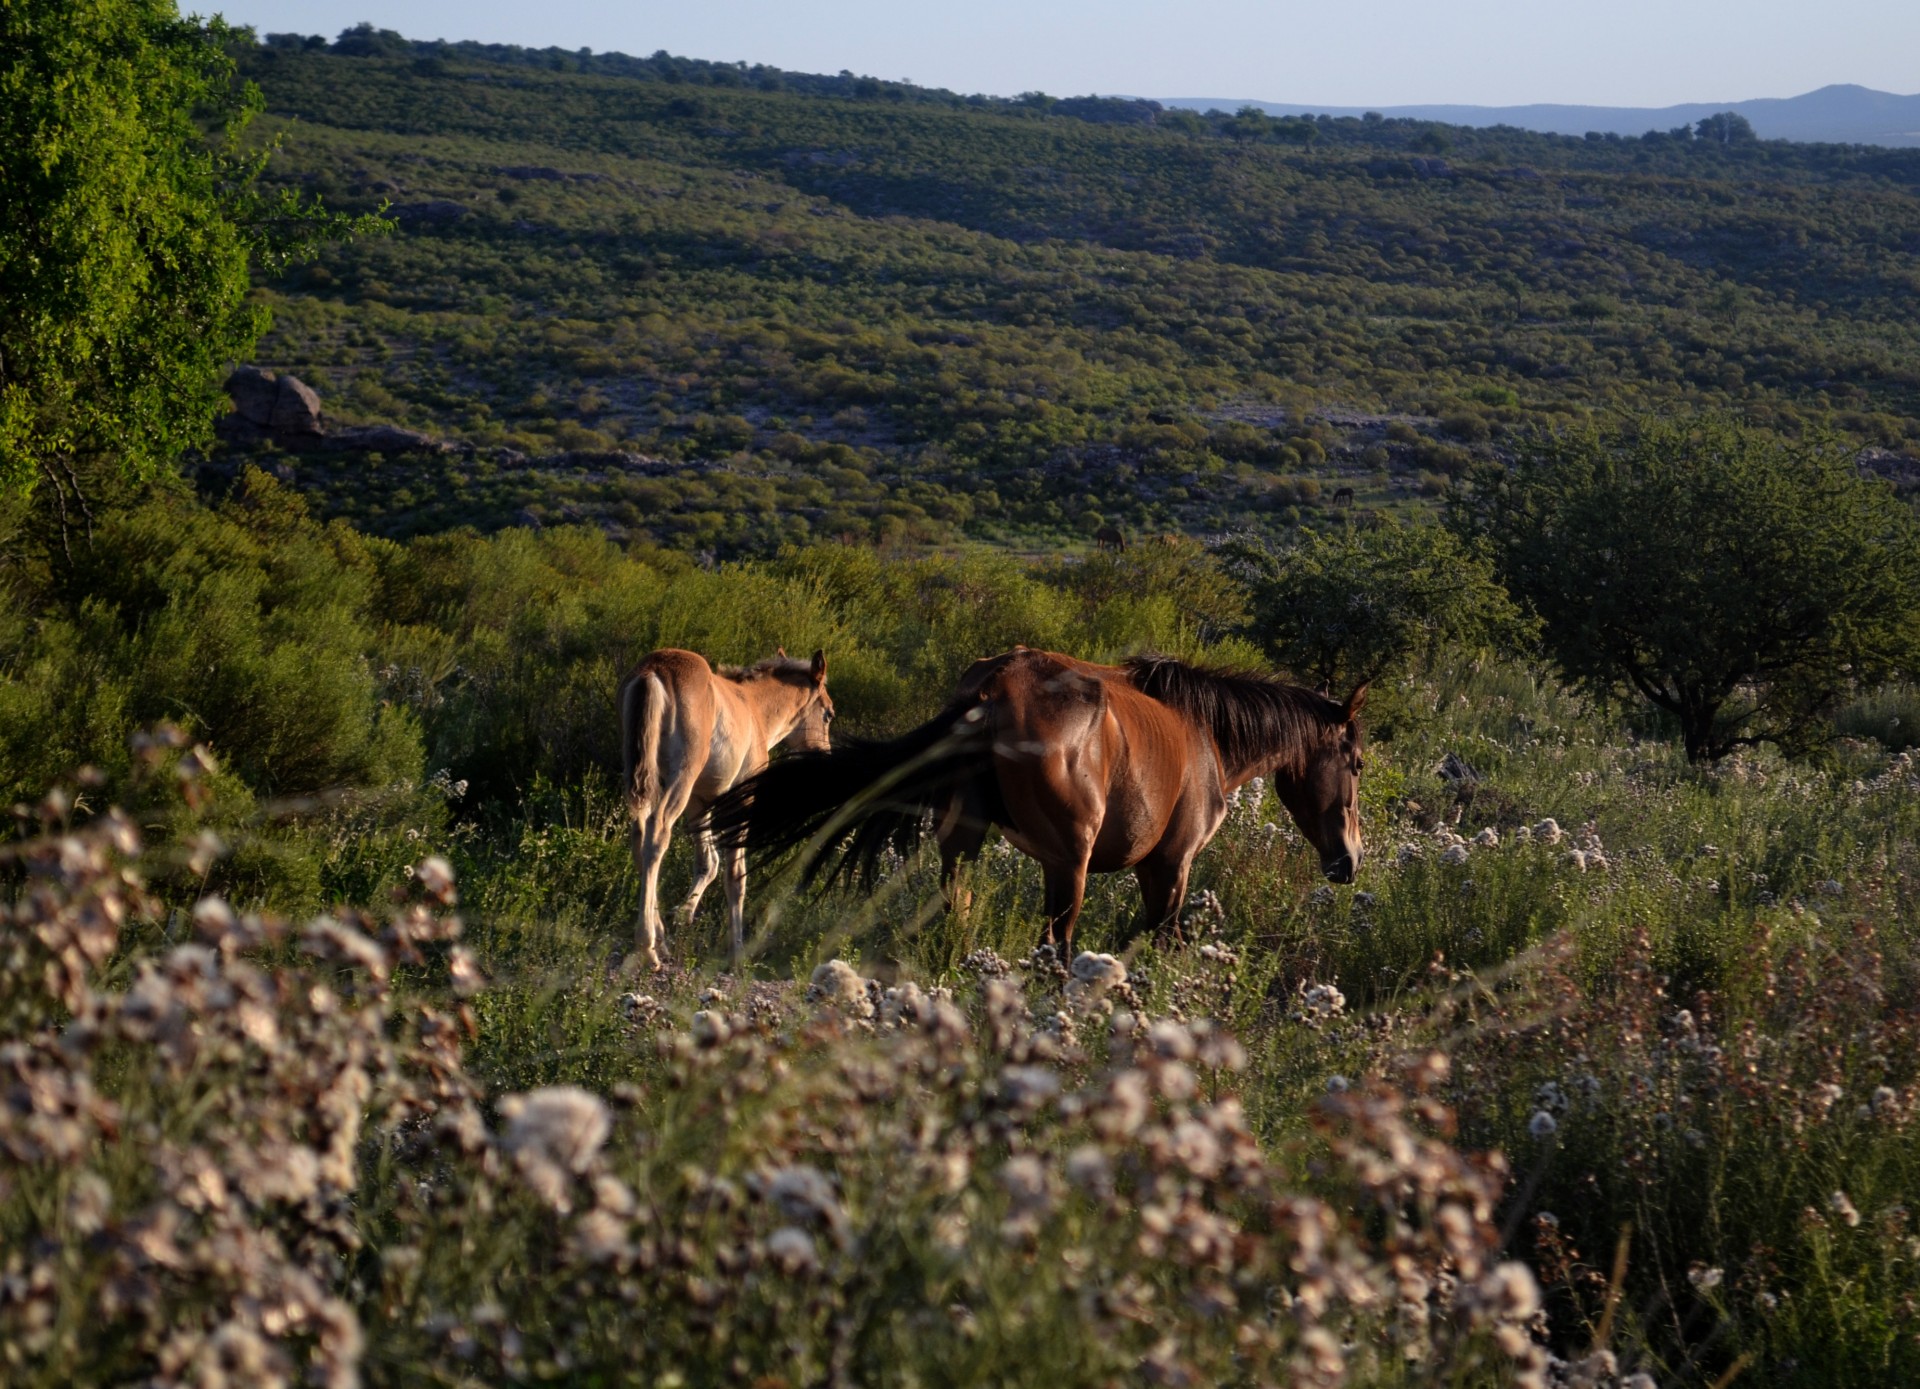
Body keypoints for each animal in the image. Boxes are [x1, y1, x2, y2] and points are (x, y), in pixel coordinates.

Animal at [622, 649, 833, 968]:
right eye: (828, 713)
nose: (824, 756)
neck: (754, 709)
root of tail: (654, 669)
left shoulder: (700, 800)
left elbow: (708, 861)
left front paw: (682, 914)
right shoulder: (742, 797)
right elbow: (735, 872)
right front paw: (737, 950)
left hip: (645, 777)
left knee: (640, 836)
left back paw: (660, 940)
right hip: (681, 777)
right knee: (657, 833)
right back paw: (648, 947)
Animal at [710, 649, 1367, 945]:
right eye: (1357, 764)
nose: (1349, 861)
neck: (1207, 734)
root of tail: (995, 690)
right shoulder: (1170, 866)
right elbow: (1164, 939)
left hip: (963, 847)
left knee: (957, 910)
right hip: (1067, 864)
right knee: (1056, 947)